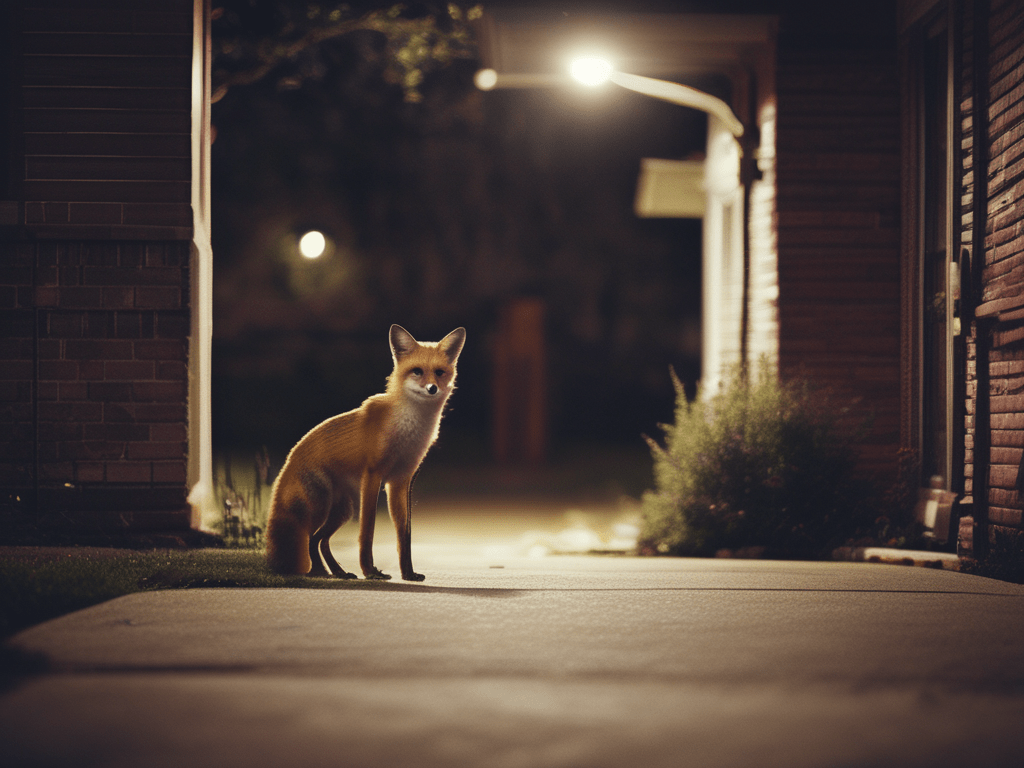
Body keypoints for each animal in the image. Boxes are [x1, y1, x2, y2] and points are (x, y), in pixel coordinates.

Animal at [265, 324, 466, 581]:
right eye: (417, 371)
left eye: (439, 372)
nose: (432, 389)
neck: (408, 429)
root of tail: (289, 460)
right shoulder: (373, 475)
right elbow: (367, 530)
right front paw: (370, 571)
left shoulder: (401, 481)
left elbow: (405, 533)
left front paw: (408, 573)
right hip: (322, 506)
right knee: (312, 538)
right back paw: (320, 573)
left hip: (342, 511)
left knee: (319, 541)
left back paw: (336, 573)